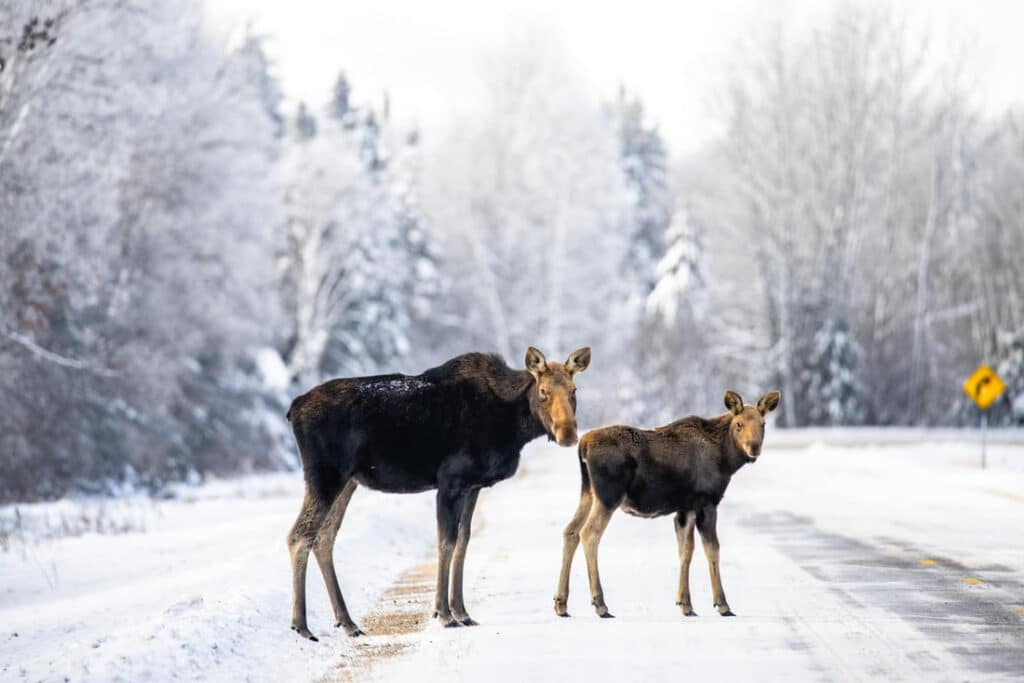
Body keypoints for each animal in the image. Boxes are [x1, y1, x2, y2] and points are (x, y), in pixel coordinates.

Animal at [286, 346, 591, 640]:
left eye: (574, 390)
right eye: (543, 391)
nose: (567, 434)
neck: (514, 428)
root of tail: (293, 408)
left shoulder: (472, 486)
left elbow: (463, 541)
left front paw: (462, 612)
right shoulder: (450, 481)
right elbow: (446, 542)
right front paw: (444, 614)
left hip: (347, 481)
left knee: (323, 537)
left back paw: (347, 622)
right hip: (325, 475)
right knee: (299, 536)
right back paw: (301, 624)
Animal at [553, 389, 780, 620]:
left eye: (763, 423)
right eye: (739, 424)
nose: (754, 447)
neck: (725, 460)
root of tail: (583, 445)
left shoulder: (685, 508)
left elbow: (686, 550)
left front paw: (685, 604)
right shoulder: (706, 502)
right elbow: (712, 549)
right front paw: (722, 604)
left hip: (588, 493)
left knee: (570, 531)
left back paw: (561, 603)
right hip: (609, 496)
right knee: (589, 534)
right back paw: (600, 604)